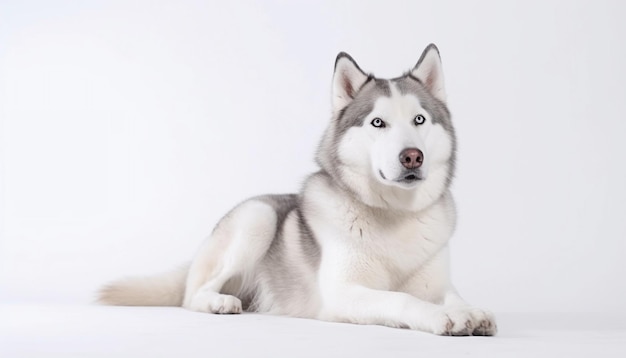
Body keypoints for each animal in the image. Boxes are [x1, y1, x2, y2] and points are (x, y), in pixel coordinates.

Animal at [98, 44, 492, 336]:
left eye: (419, 120)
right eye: (378, 122)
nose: (412, 156)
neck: (395, 213)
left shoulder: (437, 285)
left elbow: (452, 297)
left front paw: (470, 312)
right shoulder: (344, 293)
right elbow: (401, 300)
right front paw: (442, 318)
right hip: (257, 217)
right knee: (192, 293)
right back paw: (218, 302)